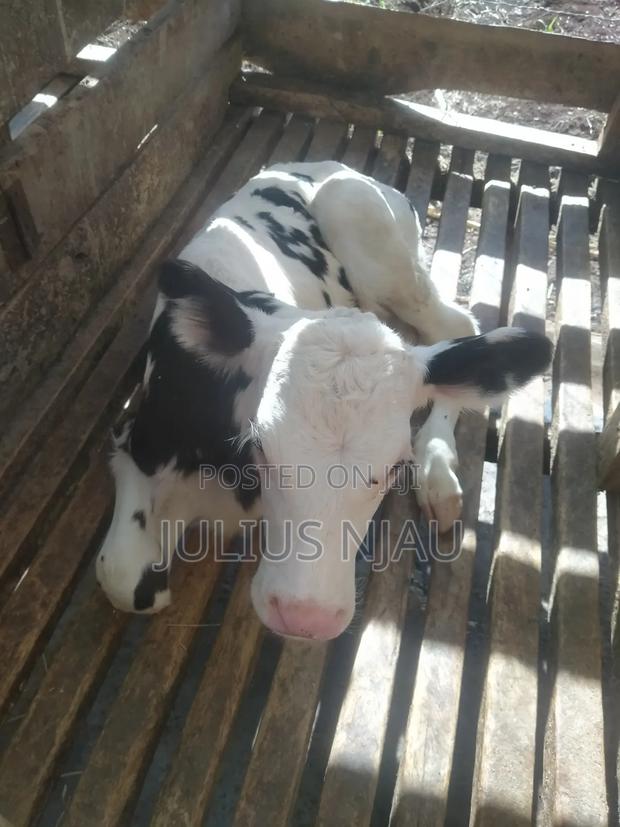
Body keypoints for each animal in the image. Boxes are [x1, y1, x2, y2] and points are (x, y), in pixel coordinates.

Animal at [97, 161, 551, 640]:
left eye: (395, 467)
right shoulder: (134, 439)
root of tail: (325, 166)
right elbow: (121, 576)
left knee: (456, 327)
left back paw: (438, 475)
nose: (304, 617)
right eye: (262, 448)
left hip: (366, 229)